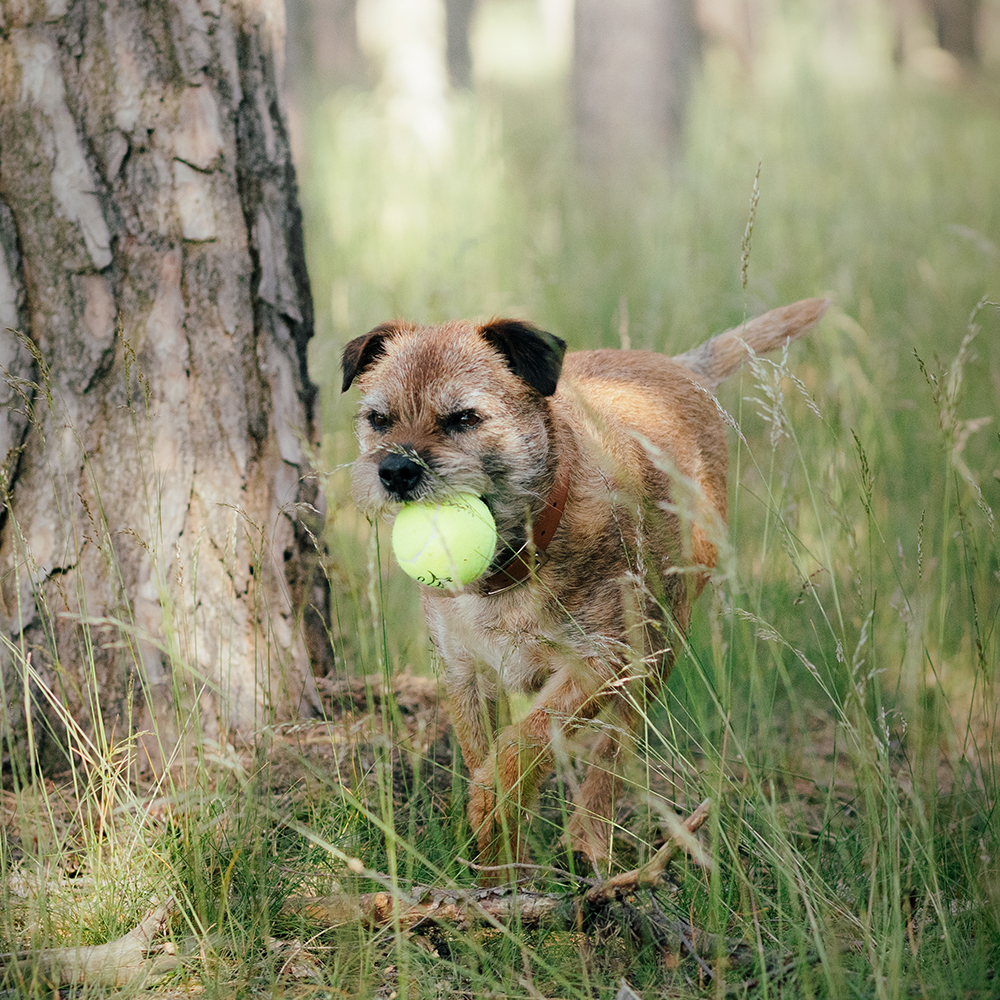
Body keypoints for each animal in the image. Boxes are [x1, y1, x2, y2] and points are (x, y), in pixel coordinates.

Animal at [344, 298, 828, 884]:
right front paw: (499, 871)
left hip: (656, 646)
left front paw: (493, 807)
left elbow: (522, 744)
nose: (395, 470)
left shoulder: (599, 661)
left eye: (464, 419)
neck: (515, 561)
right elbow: (488, 751)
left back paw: (589, 841)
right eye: (379, 419)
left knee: (615, 751)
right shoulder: (463, 675)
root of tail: (675, 368)